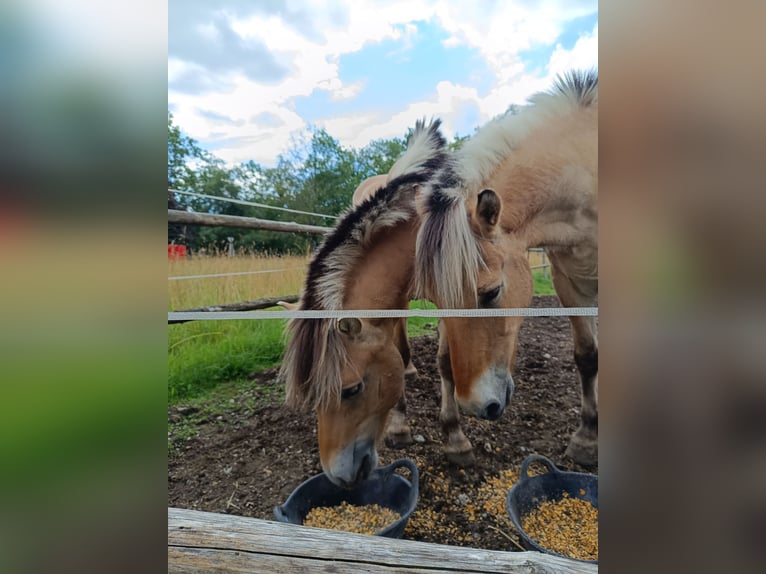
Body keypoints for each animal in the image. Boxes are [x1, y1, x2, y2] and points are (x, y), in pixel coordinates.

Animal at [414, 72, 600, 468]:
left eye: (491, 292)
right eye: (436, 301)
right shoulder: (568, 282)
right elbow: (587, 356)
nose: (475, 406)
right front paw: (587, 439)